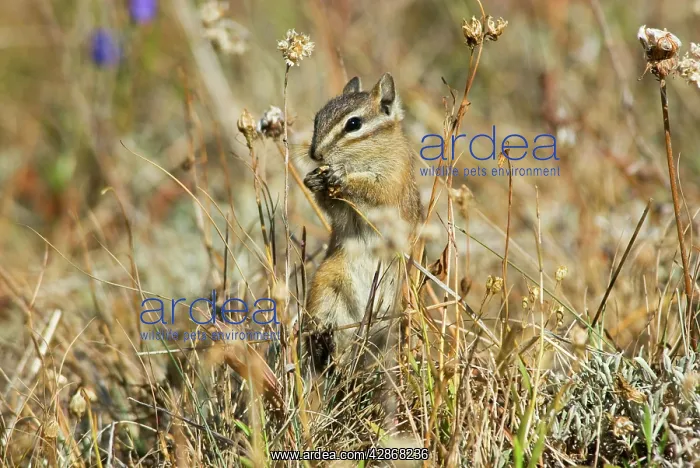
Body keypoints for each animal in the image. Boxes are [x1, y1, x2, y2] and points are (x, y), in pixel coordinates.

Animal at [302, 73, 423, 378]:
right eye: (317, 118)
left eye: (353, 124)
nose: (316, 154)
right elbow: (331, 207)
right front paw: (314, 180)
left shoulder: (392, 180)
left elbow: (375, 190)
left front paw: (340, 176)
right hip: (327, 282)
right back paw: (324, 340)